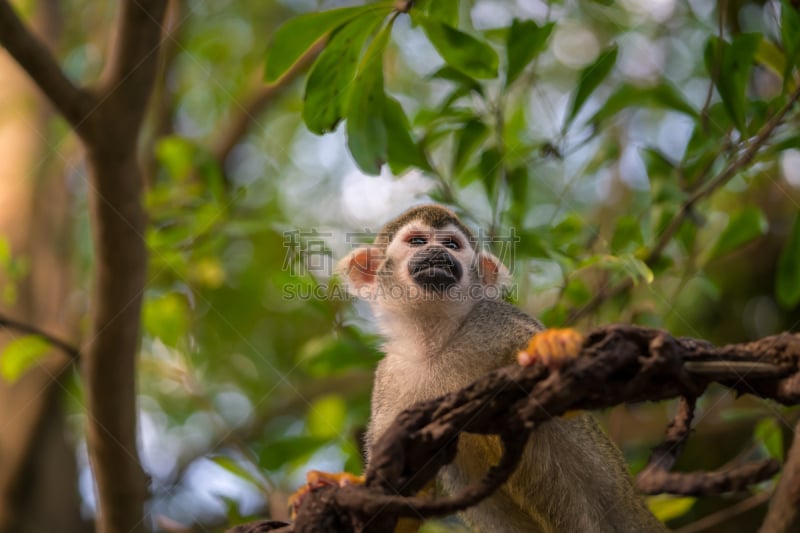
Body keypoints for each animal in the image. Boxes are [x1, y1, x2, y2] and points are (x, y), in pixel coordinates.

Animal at [334, 205, 664, 532]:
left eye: (452, 244)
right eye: (417, 241)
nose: (438, 252)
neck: (433, 340)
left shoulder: (497, 322)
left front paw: (553, 348)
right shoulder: (390, 377)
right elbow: (404, 501)